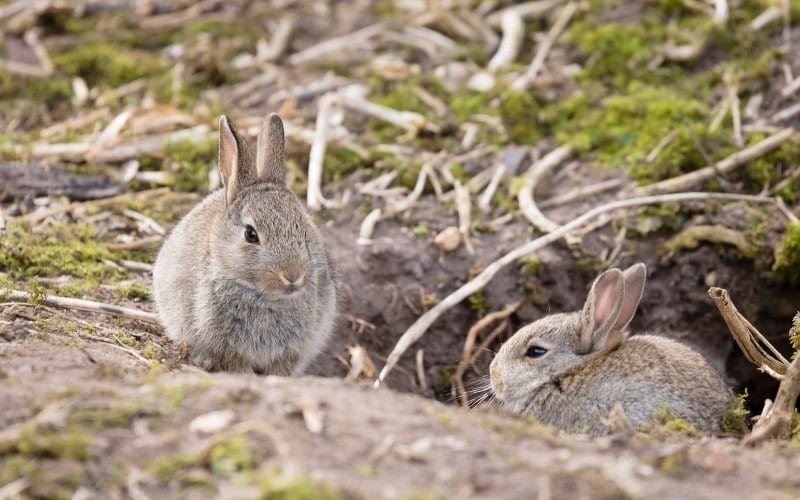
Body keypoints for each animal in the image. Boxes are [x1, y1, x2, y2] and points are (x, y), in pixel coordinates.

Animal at [152, 111, 336, 374]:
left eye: (303, 228)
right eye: (251, 234)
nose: (293, 276)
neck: (264, 296)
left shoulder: (292, 350)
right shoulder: (226, 347)